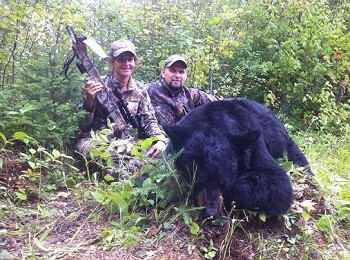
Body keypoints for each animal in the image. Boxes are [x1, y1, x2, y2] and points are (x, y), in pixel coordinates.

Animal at [163, 97, 312, 217]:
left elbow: (279, 185)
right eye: (199, 181)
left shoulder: (253, 146)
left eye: (222, 183)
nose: (211, 212)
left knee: (295, 156)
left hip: (282, 140)